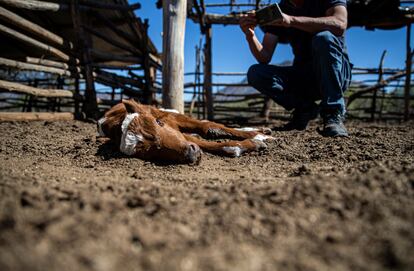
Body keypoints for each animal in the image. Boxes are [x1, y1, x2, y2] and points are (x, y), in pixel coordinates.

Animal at [96, 99, 272, 165]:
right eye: (148, 153)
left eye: (158, 123)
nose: (190, 153)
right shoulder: (183, 137)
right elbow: (206, 143)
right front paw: (247, 144)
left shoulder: (173, 121)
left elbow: (208, 127)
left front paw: (256, 136)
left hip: (172, 113)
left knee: (208, 125)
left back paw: (261, 130)